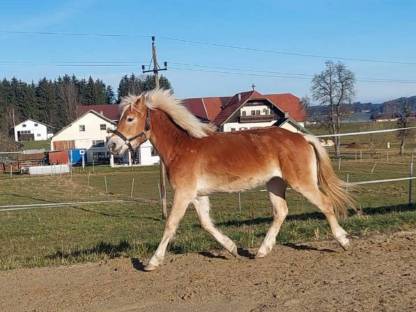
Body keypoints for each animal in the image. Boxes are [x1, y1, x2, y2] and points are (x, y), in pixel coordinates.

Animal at [108, 88, 354, 270]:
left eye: (130, 118)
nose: (112, 145)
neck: (182, 147)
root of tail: (302, 137)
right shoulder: (197, 196)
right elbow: (206, 224)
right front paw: (232, 248)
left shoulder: (183, 194)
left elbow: (171, 224)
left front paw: (152, 261)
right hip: (275, 184)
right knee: (281, 212)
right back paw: (262, 251)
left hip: (302, 183)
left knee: (325, 204)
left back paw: (343, 241)